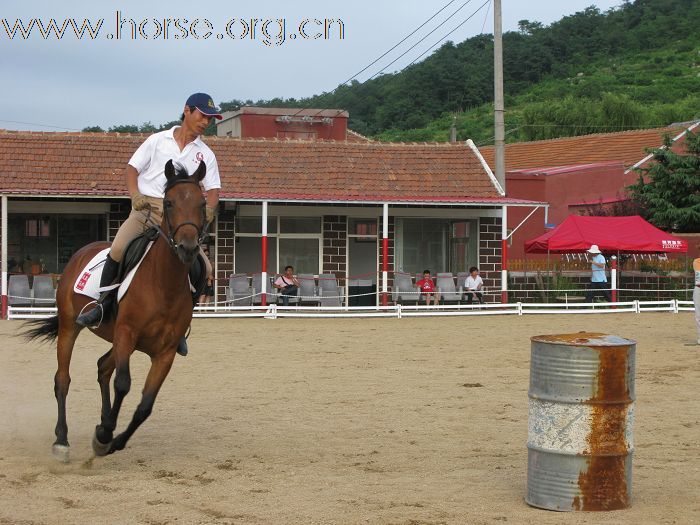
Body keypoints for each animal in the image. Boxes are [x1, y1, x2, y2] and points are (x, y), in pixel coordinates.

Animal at [23, 159, 208, 458]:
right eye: (168, 203)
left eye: (202, 204)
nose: (187, 248)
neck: (163, 284)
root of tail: (82, 251)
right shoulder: (126, 334)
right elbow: (123, 383)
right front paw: (104, 434)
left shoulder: (165, 352)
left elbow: (145, 404)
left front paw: (112, 438)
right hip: (71, 327)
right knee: (63, 379)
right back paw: (61, 439)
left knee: (102, 368)